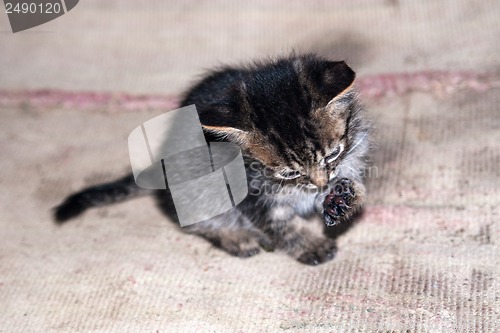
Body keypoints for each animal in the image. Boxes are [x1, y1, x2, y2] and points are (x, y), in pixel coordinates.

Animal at [54, 54, 370, 264]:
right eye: (289, 173)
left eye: (333, 154)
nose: (320, 184)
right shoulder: (250, 197)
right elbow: (281, 225)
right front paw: (309, 245)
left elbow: (351, 185)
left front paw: (344, 198)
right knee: (194, 220)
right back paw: (237, 238)